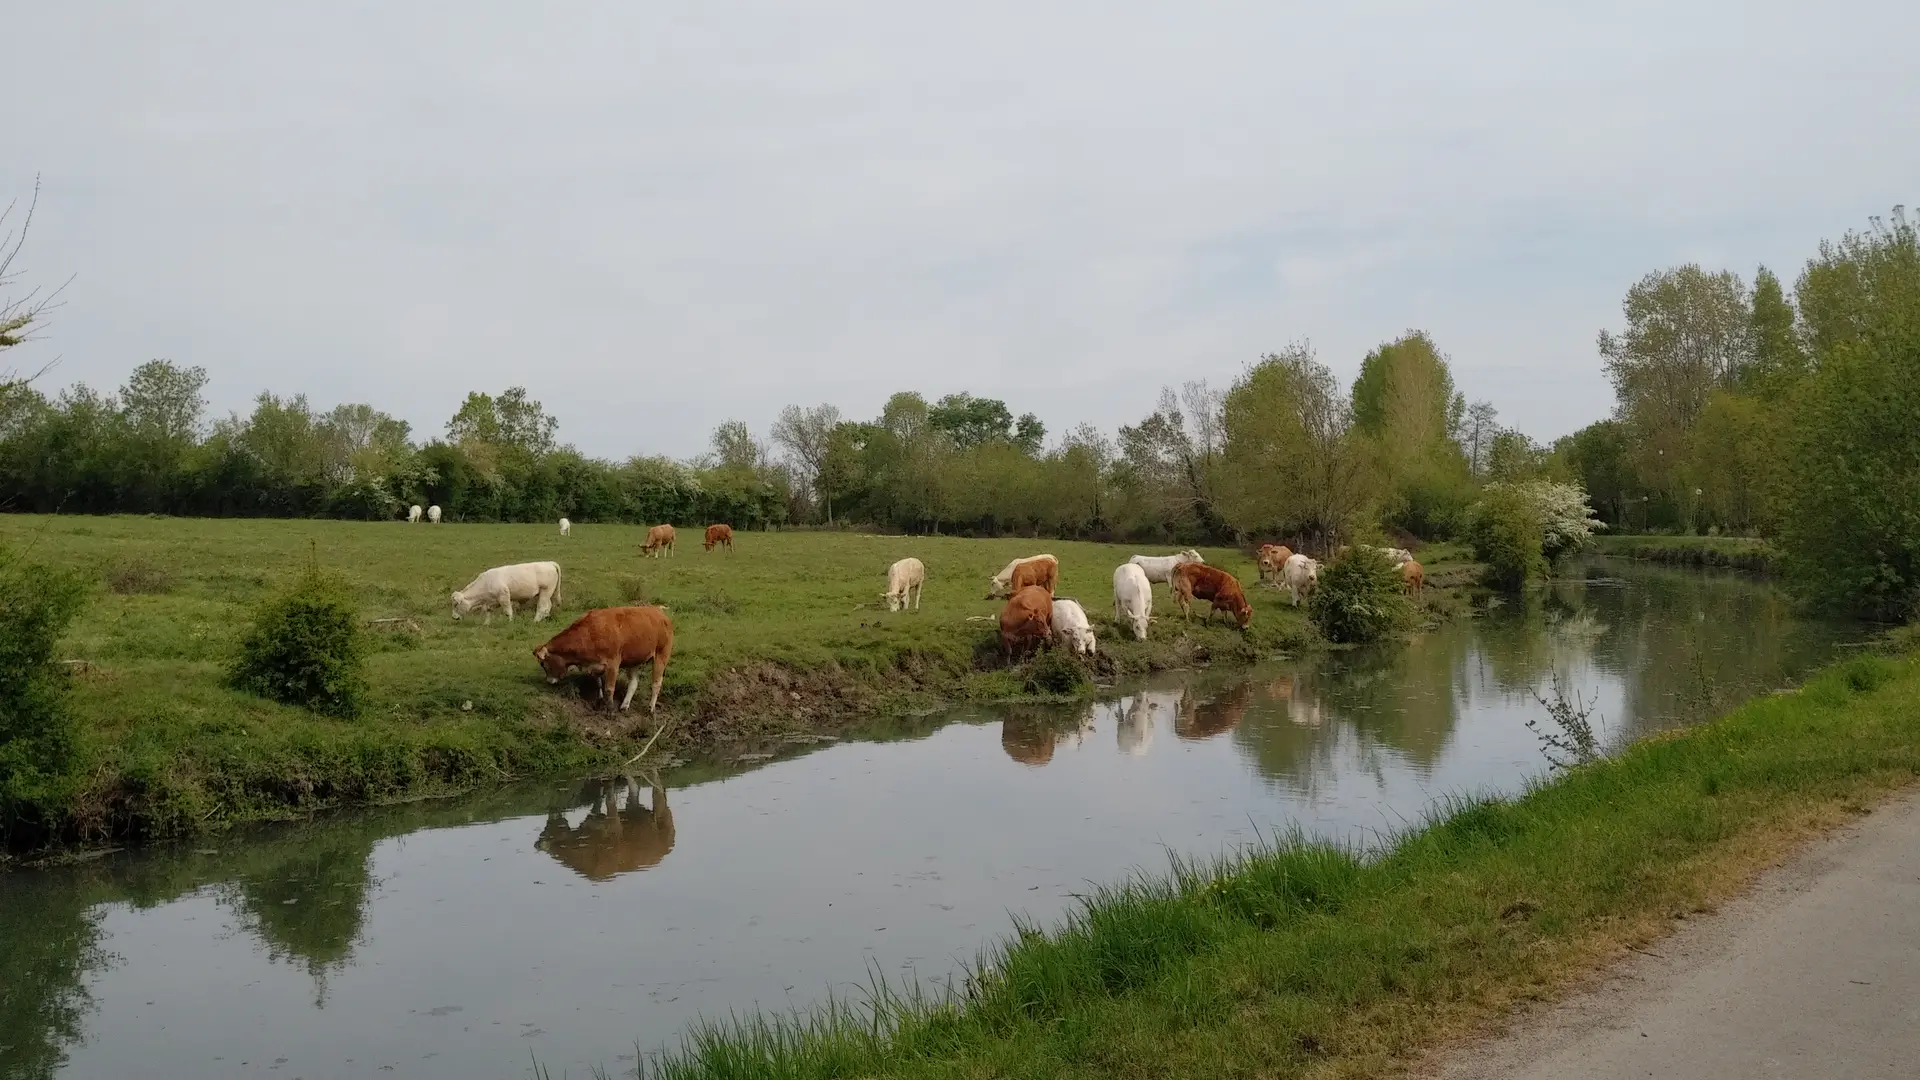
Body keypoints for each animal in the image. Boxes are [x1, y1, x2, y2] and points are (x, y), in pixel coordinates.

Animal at [533, 599, 675, 711]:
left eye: (543, 663)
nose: (549, 681)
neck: (589, 633)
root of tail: (658, 611)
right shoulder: (595, 665)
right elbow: (599, 683)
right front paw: (600, 700)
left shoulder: (613, 664)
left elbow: (609, 689)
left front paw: (610, 709)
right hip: (634, 660)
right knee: (633, 683)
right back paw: (625, 705)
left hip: (662, 655)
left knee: (656, 683)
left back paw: (651, 708)